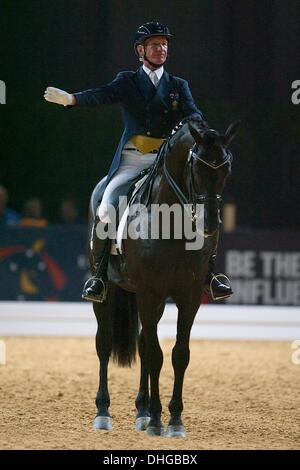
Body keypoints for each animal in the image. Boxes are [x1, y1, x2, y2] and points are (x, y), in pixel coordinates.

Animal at [89, 117, 239, 436]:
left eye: (227, 170)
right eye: (196, 168)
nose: (210, 223)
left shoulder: (189, 296)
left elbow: (178, 354)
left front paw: (174, 419)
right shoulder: (150, 293)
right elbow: (157, 355)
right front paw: (159, 420)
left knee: (144, 345)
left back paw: (142, 411)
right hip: (109, 291)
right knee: (104, 343)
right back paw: (104, 412)